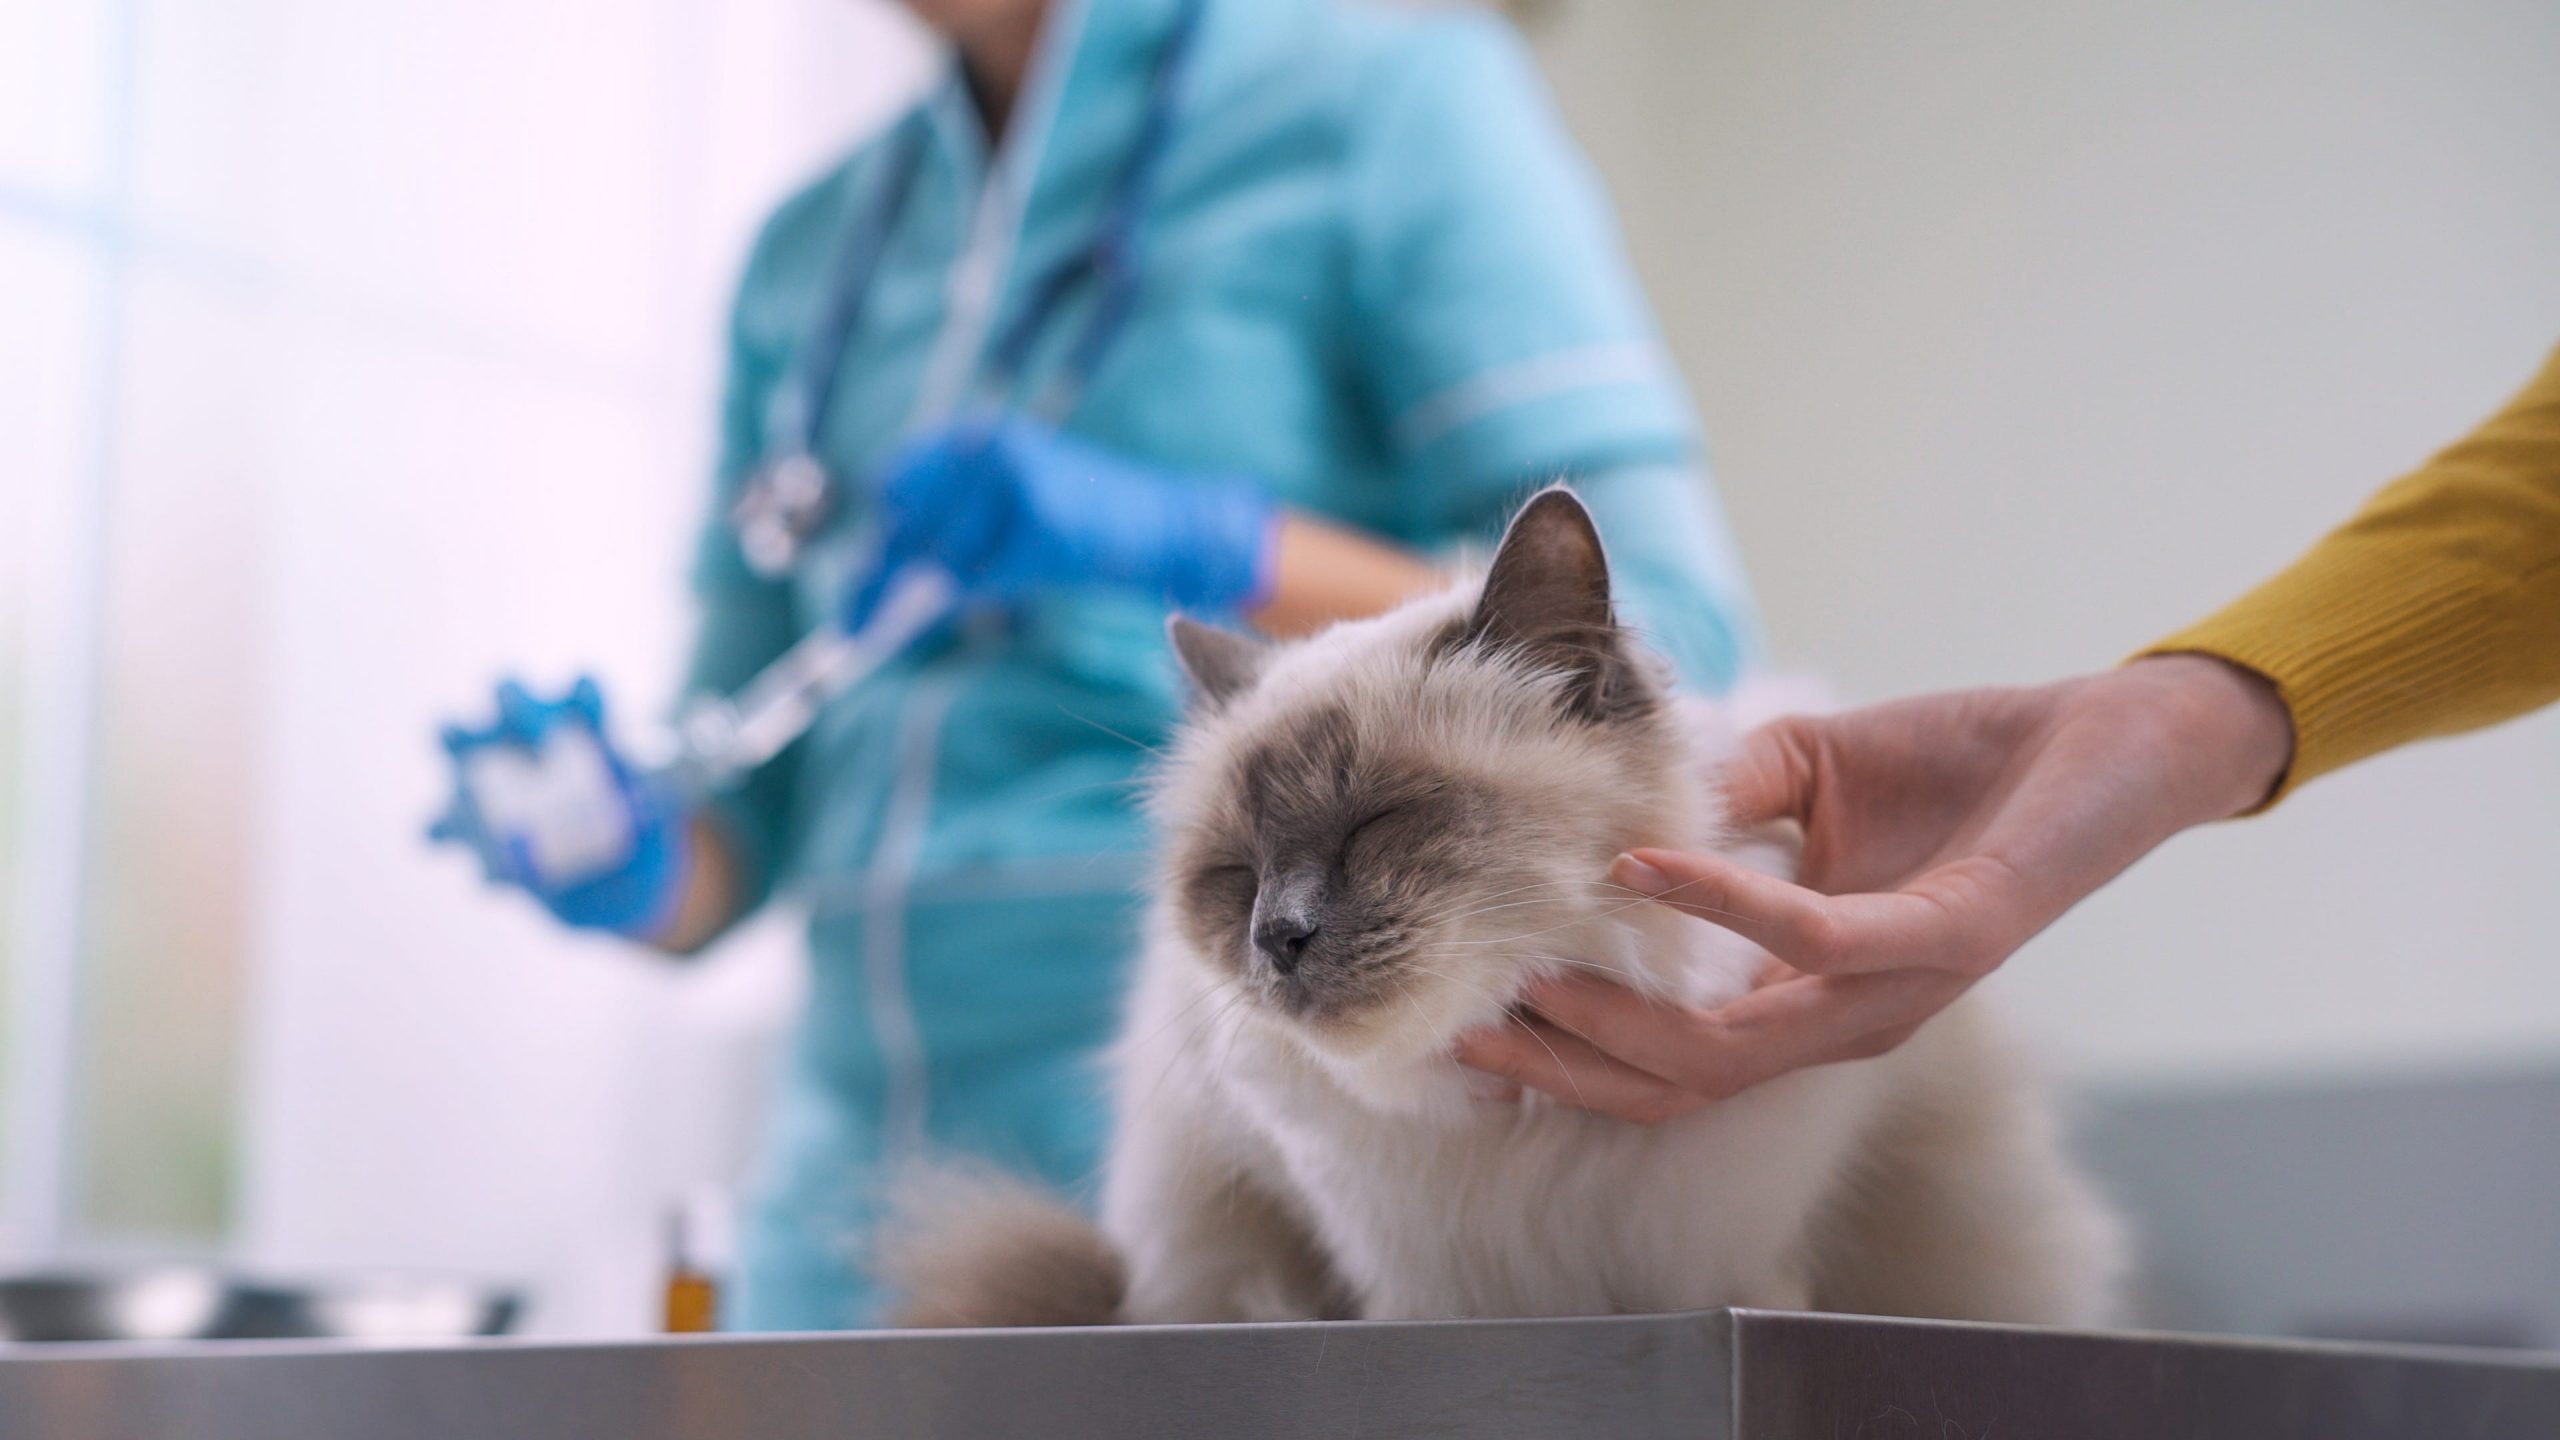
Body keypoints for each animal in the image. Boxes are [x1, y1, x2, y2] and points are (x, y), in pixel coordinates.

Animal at [890, 481, 2129, 1322]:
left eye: (1378, 824)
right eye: (1234, 875)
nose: (1276, 938)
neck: (1528, 1128)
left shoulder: (1724, 1259)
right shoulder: (1412, 1284)